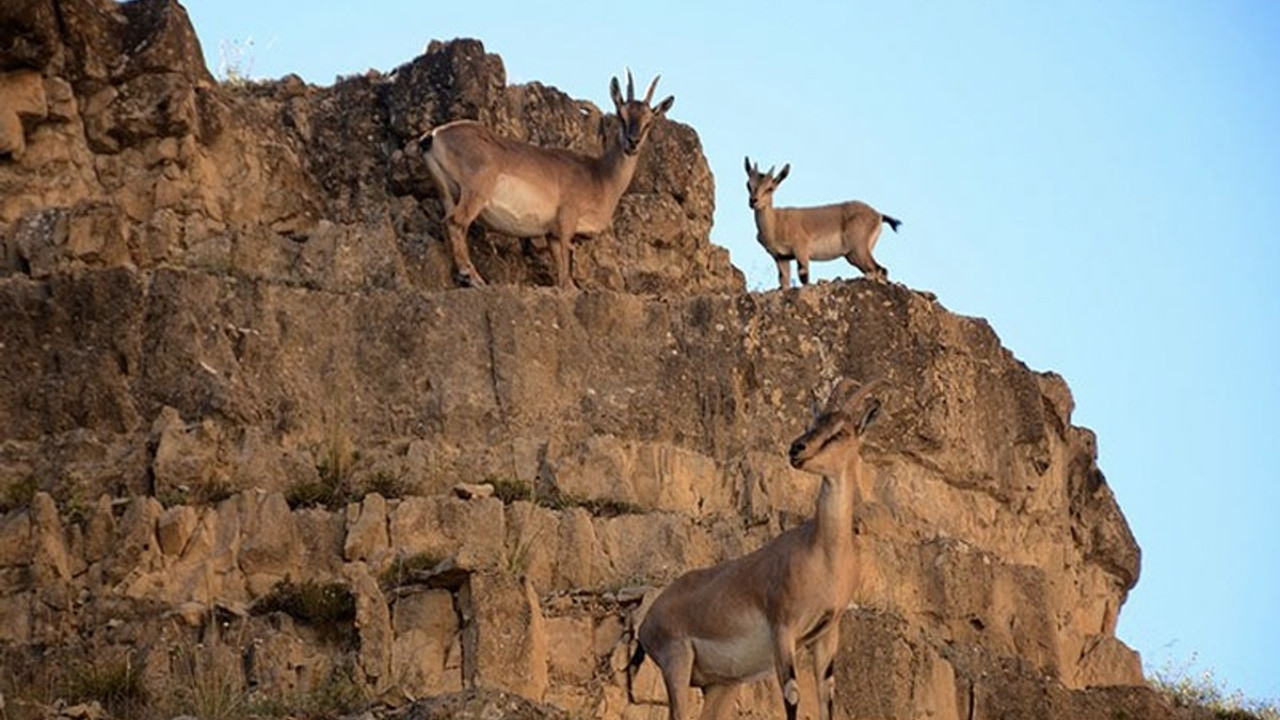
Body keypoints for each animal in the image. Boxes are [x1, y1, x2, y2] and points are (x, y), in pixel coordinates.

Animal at [419, 70, 680, 285]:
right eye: (621, 115)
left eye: (649, 121)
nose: (632, 142)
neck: (600, 176)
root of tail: (433, 135)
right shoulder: (566, 222)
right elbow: (565, 278)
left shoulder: (552, 234)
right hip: (476, 192)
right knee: (456, 222)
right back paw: (472, 277)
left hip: (446, 192)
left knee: (447, 222)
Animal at [627, 376, 885, 717]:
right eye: (812, 422)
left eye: (841, 431)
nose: (797, 449)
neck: (825, 554)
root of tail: (648, 622)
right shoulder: (783, 629)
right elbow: (792, 695)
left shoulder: (827, 634)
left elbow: (826, 699)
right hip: (676, 662)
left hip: (721, 684)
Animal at [742, 157, 901, 288]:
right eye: (748, 184)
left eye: (770, 188)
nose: (753, 201)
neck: (775, 223)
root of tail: (879, 215)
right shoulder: (781, 257)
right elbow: (783, 282)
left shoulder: (801, 251)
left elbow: (804, 278)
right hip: (854, 255)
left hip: (859, 249)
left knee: (880, 269)